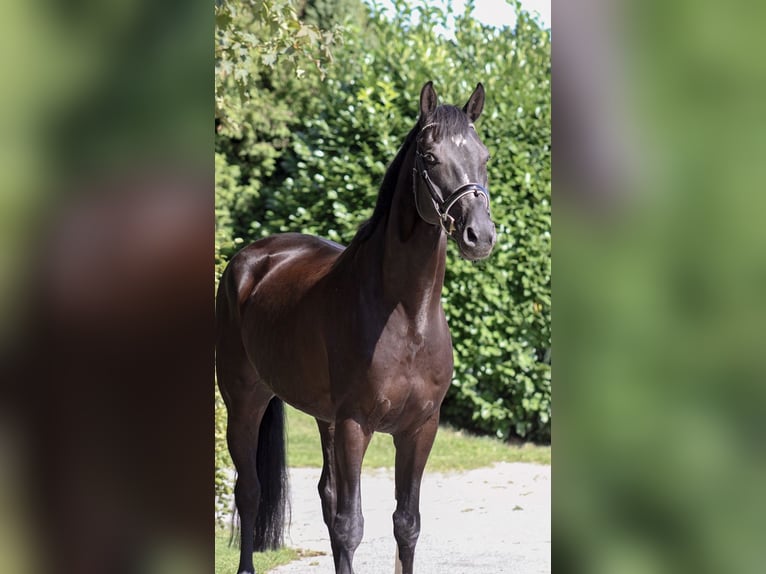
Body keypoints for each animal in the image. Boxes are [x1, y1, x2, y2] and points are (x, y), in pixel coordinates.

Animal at [216, 82, 498, 574]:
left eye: (483, 156)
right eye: (429, 157)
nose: (479, 236)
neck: (408, 315)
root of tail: (249, 259)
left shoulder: (420, 428)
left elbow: (406, 524)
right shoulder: (355, 425)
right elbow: (352, 525)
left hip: (322, 418)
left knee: (325, 497)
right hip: (244, 401)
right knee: (249, 491)